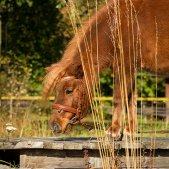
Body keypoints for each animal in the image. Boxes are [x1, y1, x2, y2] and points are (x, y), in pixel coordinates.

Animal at [44, 0, 169, 139]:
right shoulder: (131, 68)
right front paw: (130, 130)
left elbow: (119, 97)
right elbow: (131, 99)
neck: (119, 25)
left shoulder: (125, 66)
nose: (54, 125)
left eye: (69, 91)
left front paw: (113, 130)